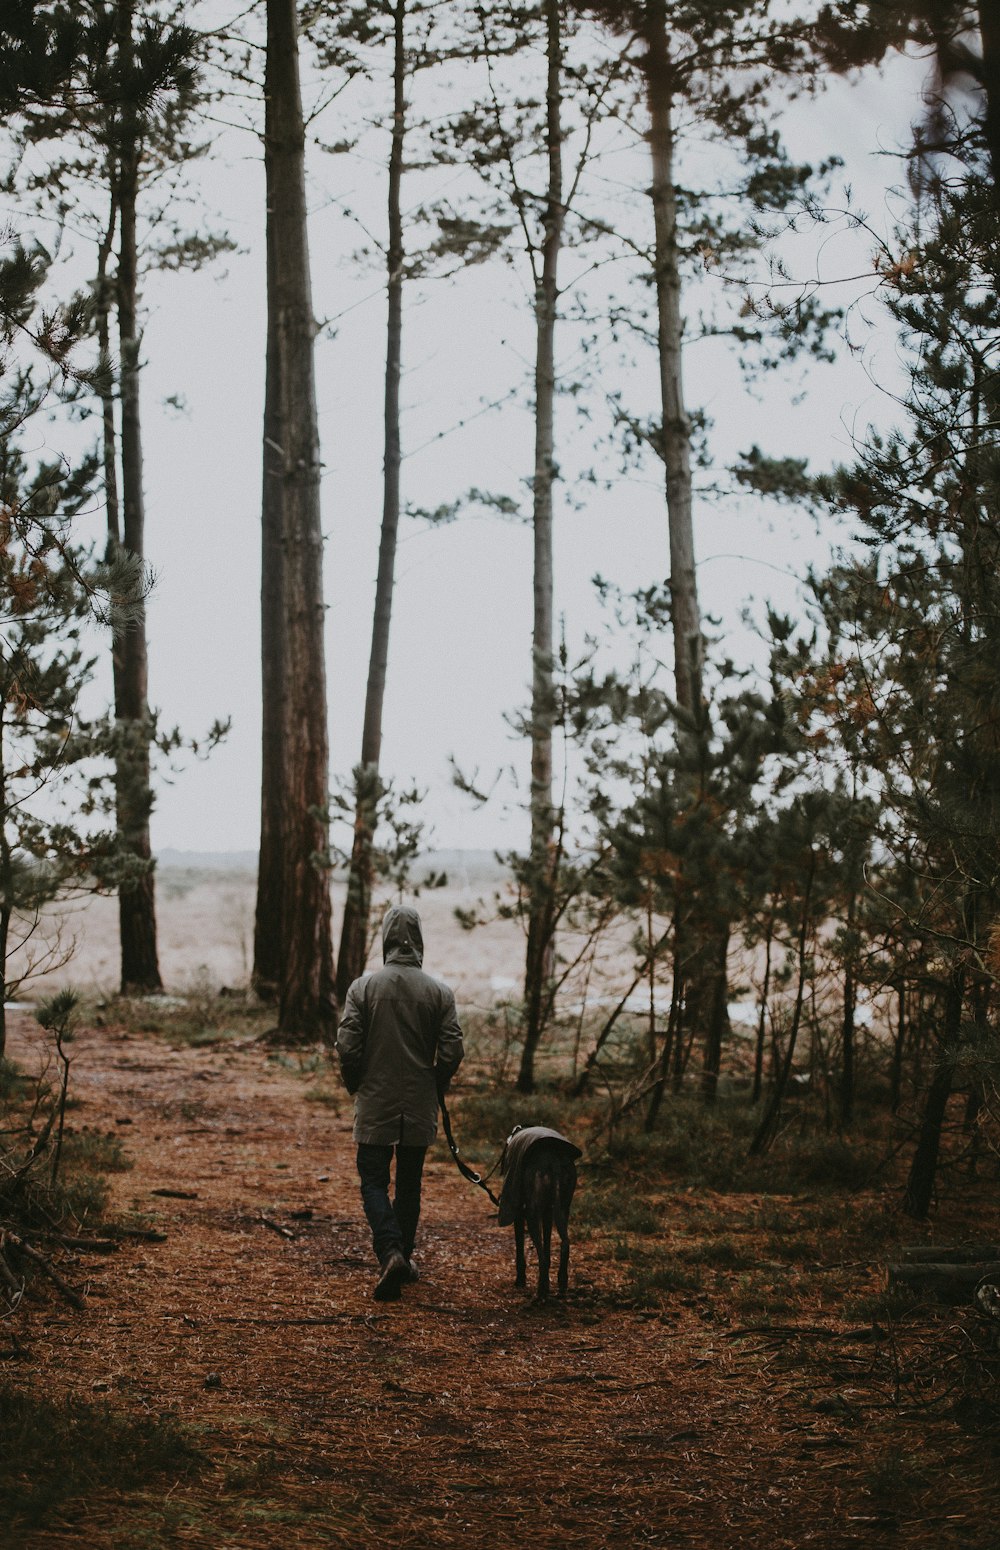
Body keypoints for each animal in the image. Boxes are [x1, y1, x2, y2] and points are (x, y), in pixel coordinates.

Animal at [496, 1128, 579, 1295]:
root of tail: (553, 1161)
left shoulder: (519, 1213)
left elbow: (520, 1249)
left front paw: (520, 1280)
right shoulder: (547, 1214)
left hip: (532, 1214)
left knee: (541, 1254)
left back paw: (542, 1290)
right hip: (563, 1208)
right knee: (564, 1244)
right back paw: (561, 1283)